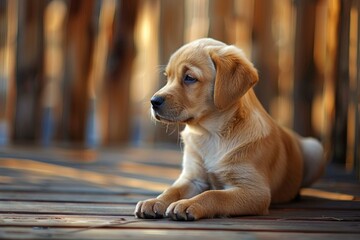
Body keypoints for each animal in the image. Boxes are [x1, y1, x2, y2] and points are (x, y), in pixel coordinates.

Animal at [134, 38, 324, 221]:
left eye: (189, 77)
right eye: (168, 77)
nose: (153, 101)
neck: (210, 134)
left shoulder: (255, 191)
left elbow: (214, 195)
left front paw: (188, 204)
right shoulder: (193, 178)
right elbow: (172, 190)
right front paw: (155, 201)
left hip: (315, 149)